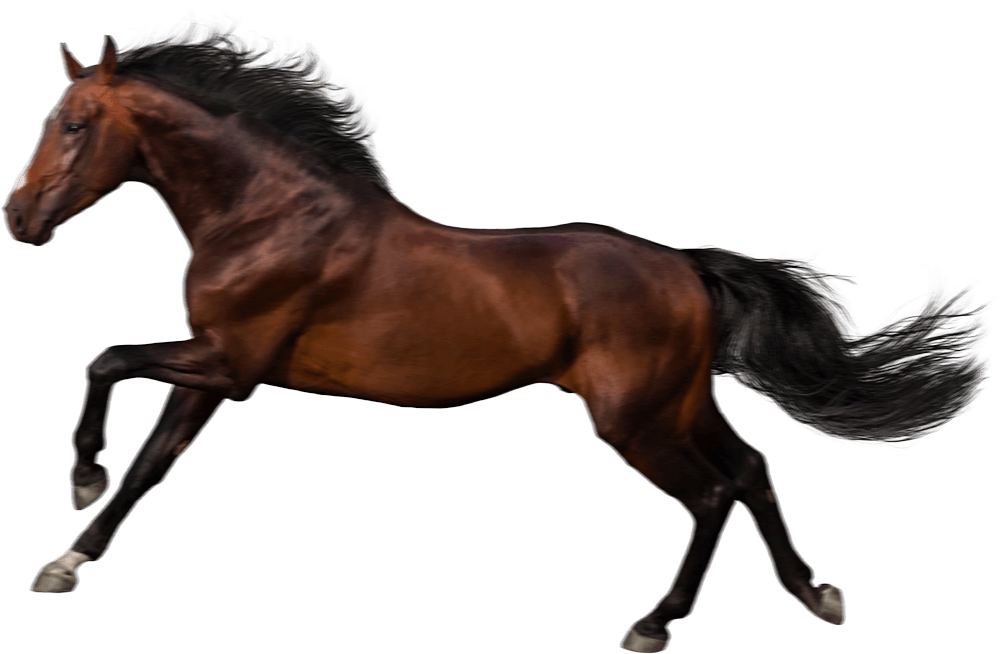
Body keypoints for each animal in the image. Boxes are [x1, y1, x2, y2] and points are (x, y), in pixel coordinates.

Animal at [5, 14, 991, 653]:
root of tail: (687, 267)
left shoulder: (230, 362)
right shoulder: (211, 373)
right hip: (678, 405)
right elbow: (151, 464)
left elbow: (103, 359)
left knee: (713, 493)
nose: (17, 219)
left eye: (77, 123)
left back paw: (653, 624)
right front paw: (69, 557)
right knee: (752, 469)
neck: (268, 215)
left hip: (633, 420)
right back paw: (817, 595)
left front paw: (79, 481)